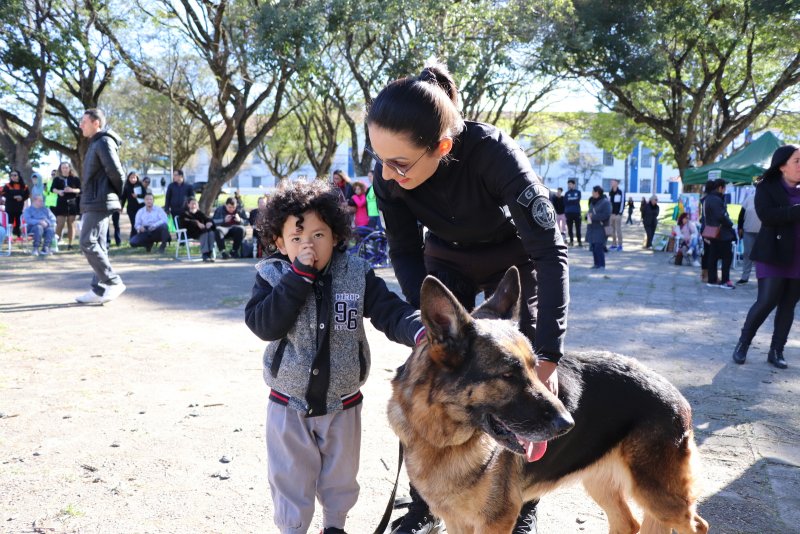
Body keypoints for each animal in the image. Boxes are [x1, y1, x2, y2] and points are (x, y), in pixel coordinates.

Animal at [388, 270, 708, 534]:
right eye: (508, 374)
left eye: (535, 367)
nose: (568, 423)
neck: (442, 439)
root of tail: (676, 393)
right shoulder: (457, 521)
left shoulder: (496, 521)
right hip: (601, 482)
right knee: (628, 523)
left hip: (659, 497)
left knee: (697, 525)